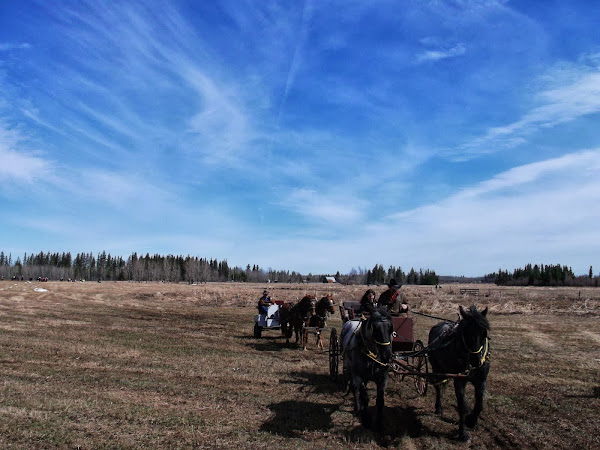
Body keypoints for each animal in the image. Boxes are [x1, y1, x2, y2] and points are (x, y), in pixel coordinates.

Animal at [428, 304, 490, 442]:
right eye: (465, 332)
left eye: (484, 333)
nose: (476, 361)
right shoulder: (459, 382)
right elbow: (462, 406)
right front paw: (463, 433)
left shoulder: (481, 381)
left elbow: (479, 405)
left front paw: (471, 421)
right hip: (436, 368)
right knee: (438, 387)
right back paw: (438, 407)